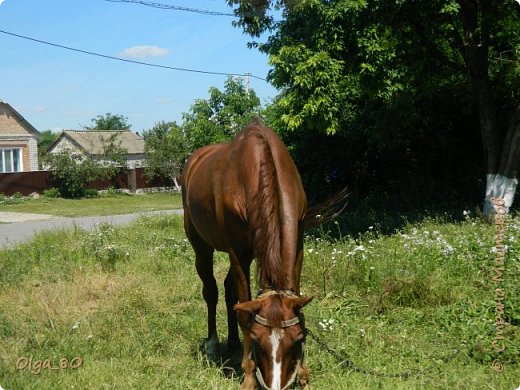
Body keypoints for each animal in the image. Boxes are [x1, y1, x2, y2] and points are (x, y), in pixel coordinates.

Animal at [183, 120, 312, 388]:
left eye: (296, 339)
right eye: (256, 339)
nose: (275, 385)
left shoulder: (298, 247)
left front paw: (304, 374)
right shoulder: (237, 252)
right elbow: (244, 313)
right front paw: (249, 376)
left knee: (229, 289)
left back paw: (232, 342)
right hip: (201, 246)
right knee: (211, 291)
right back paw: (213, 345)